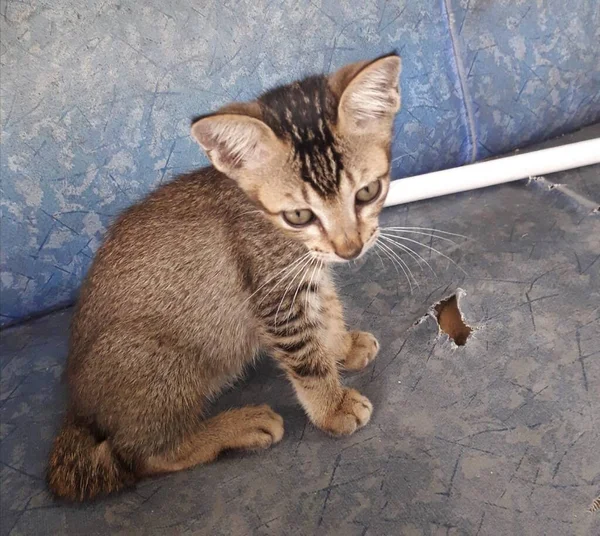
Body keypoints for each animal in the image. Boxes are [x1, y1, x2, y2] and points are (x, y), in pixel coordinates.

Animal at [48, 52, 404, 500]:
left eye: (367, 192)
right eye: (299, 214)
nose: (350, 249)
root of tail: (76, 409)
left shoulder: (306, 274)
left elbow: (325, 307)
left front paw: (340, 344)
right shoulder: (274, 292)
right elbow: (305, 356)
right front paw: (332, 406)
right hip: (158, 361)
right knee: (142, 456)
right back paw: (236, 427)